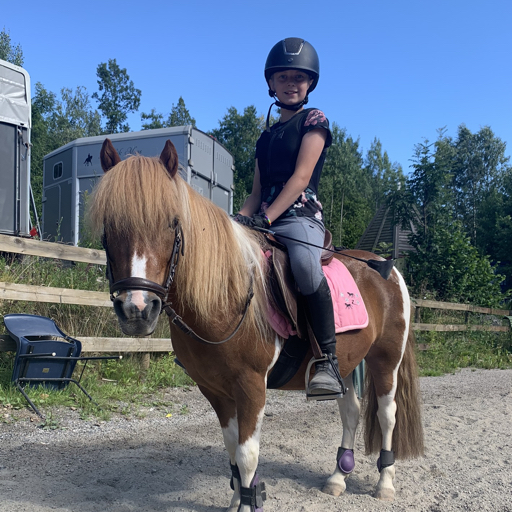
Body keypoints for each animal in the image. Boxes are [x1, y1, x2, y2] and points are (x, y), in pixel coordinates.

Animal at [88, 138, 424, 511]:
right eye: (109, 225)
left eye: (172, 222)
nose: (137, 309)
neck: (228, 296)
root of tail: (385, 267)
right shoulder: (215, 390)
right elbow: (232, 450)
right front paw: (238, 499)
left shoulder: (251, 386)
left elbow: (247, 455)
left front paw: (248, 501)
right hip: (347, 363)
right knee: (350, 411)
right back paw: (338, 478)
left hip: (385, 360)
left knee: (387, 414)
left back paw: (385, 484)